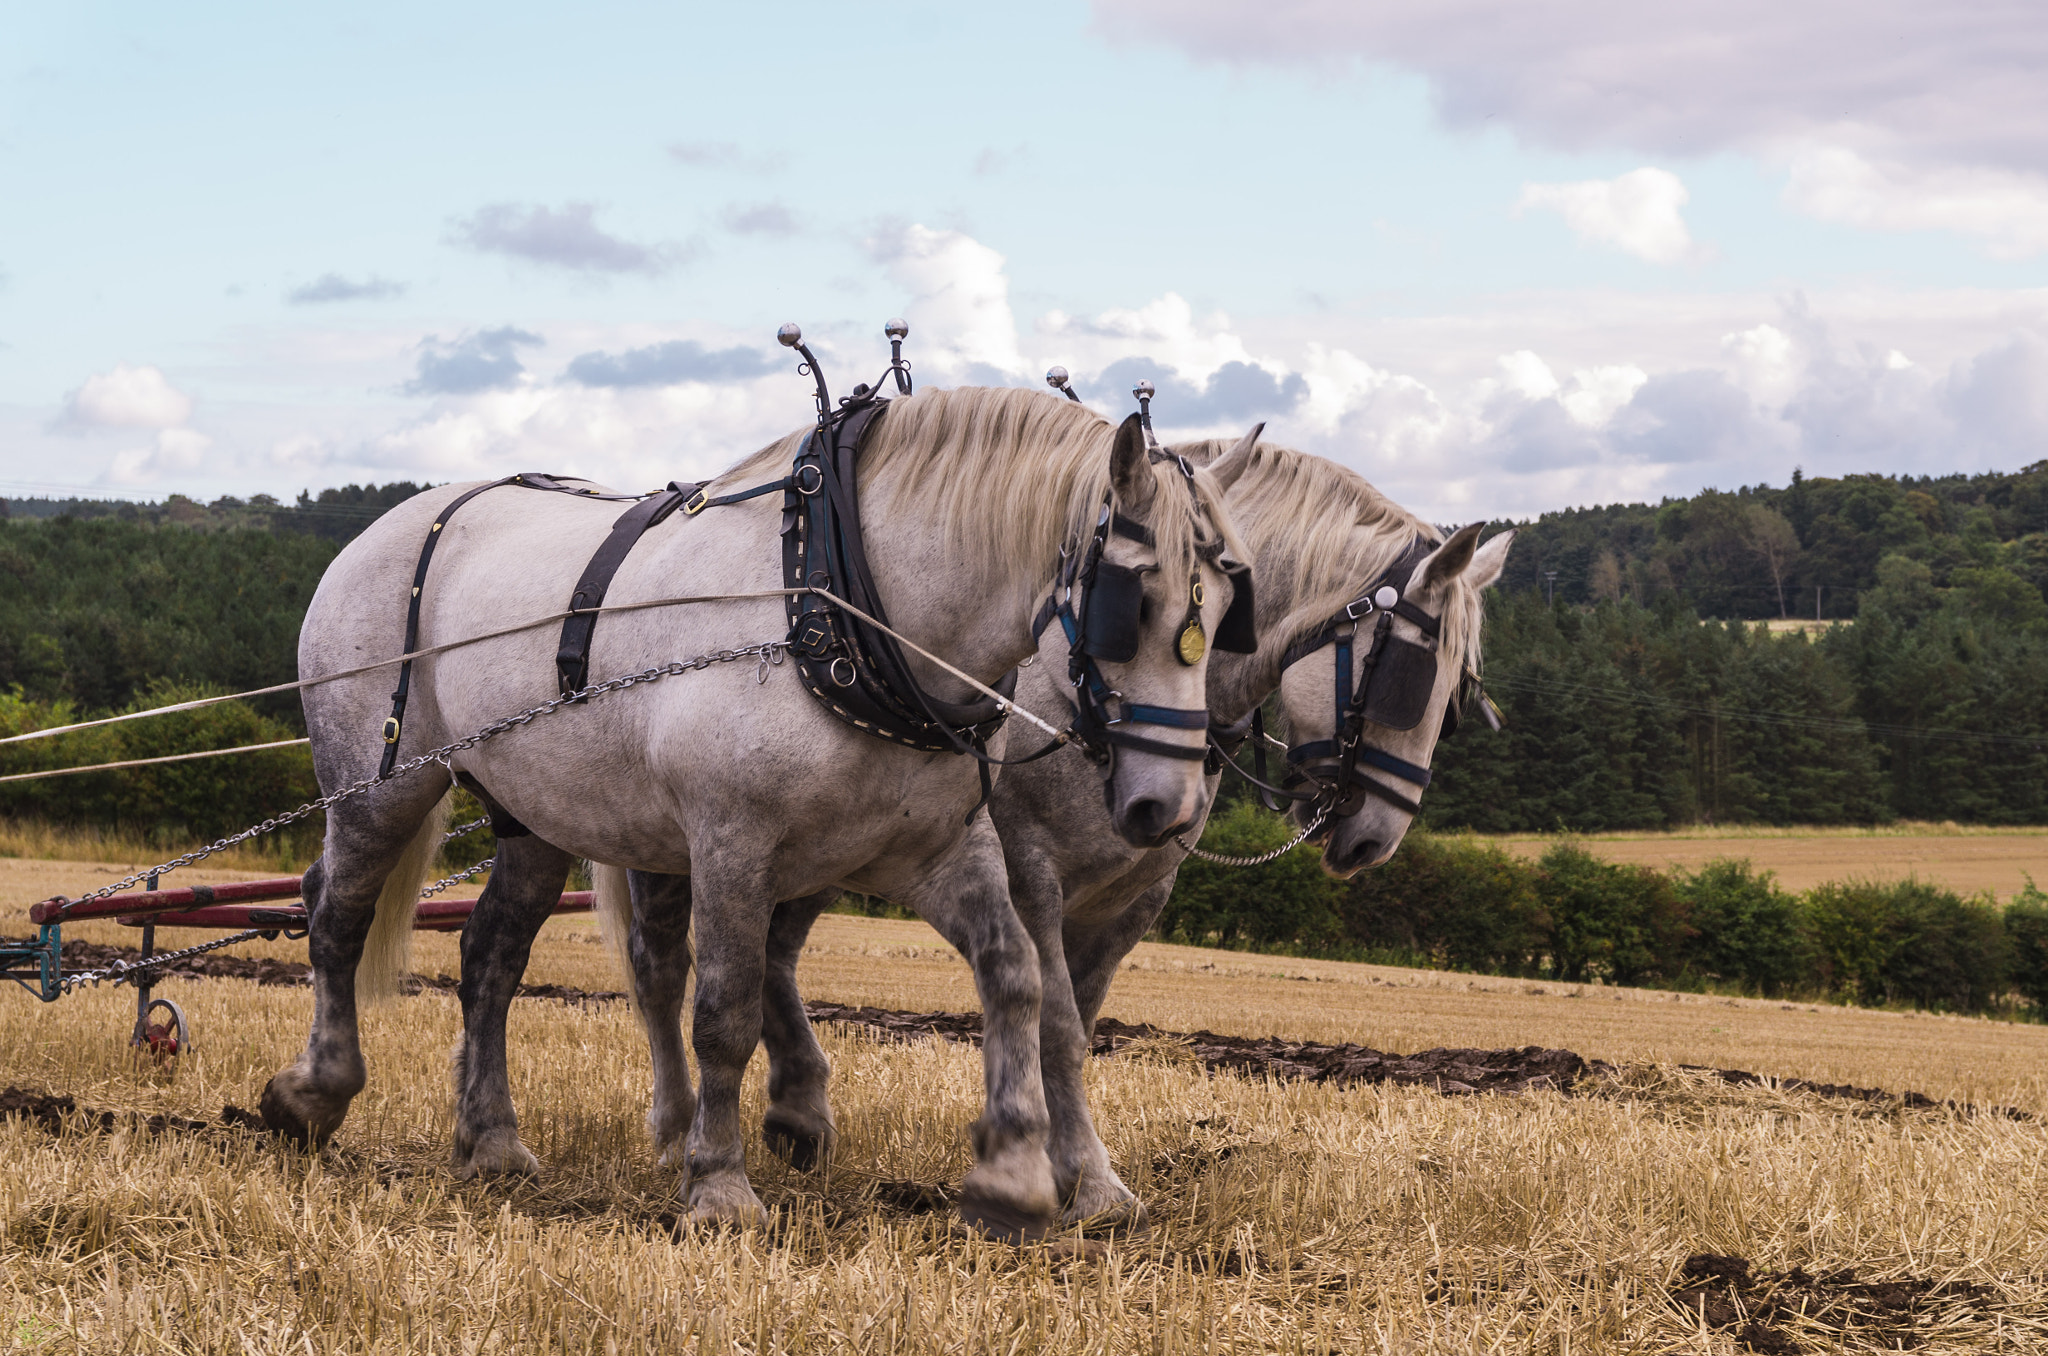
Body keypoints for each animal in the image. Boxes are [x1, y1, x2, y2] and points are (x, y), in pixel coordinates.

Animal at [262, 387, 1236, 1237]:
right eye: (1135, 601)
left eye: (1230, 609)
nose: (1170, 804)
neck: (841, 601)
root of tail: (392, 522)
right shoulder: (732, 842)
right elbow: (724, 1010)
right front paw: (720, 1186)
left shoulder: (935, 851)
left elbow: (1016, 979)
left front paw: (1015, 1176)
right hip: (377, 784)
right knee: (336, 916)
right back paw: (313, 1091)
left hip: (532, 817)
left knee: (490, 955)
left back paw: (491, 1139)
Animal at [598, 436, 1515, 1229]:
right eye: (1412, 676)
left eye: (1459, 697)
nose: (1373, 839)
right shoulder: (1027, 868)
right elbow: (1058, 1025)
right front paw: (1089, 1181)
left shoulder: (1135, 894)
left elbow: (1077, 1019)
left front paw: (1065, 1165)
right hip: (689, 845)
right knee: (663, 966)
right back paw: (678, 1131)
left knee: (776, 954)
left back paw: (801, 1107)